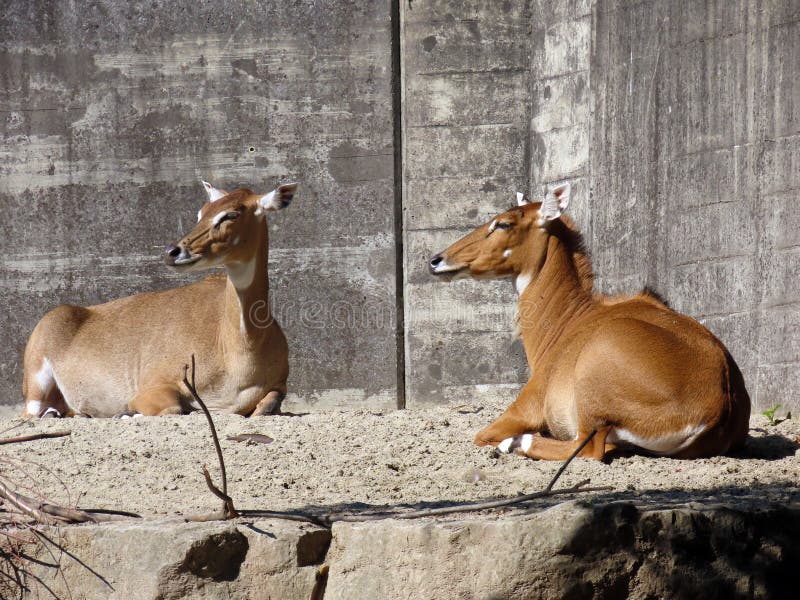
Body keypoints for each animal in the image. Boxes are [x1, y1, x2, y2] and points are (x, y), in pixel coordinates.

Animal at [21, 180, 296, 420]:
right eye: (201, 212)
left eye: (231, 215)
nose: (173, 252)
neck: (241, 346)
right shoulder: (154, 386)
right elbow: (175, 408)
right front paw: (126, 413)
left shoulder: (278, 386)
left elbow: (268, 405)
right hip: (37, 383)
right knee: (32, 413)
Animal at [432, 185, 752, 462]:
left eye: (503, 224)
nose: (436, 259)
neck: (570, 318)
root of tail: (720, 405)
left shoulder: (524, 408)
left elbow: (482, 434)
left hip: (592, 385)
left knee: (590, 449)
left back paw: (516, 443)